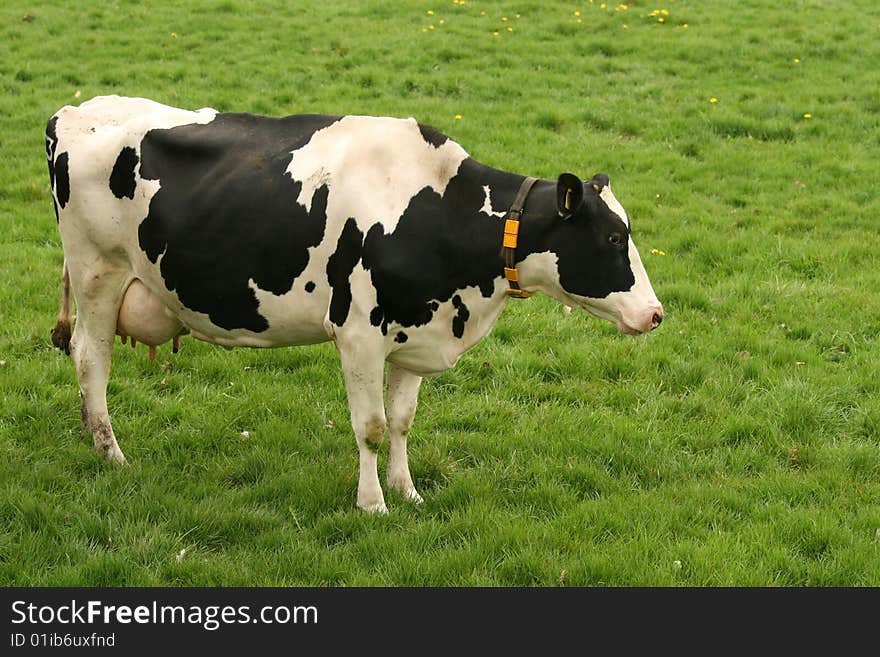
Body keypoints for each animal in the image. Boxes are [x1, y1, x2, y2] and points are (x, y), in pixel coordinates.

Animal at [44, 95, 664, 512]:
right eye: (614, 238)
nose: (656, 314)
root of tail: (76, 110)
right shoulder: (359, 333)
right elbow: (370, 425)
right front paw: (372, 504)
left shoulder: (417, 332)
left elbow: (403, 421)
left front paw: (407, 491)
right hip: (98, 272)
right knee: (91, 359)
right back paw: (111, 453)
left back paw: (91, 438)